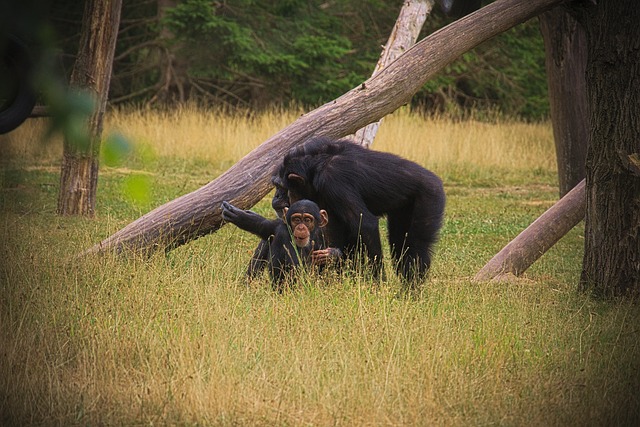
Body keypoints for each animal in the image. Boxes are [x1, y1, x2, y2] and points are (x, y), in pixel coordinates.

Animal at [276, 137, 444, 284]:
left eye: (281, 187)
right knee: (399, 243)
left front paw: (378, 282)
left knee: (417, 245)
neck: (315, 168)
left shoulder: (333, 180)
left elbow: (365, 225)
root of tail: (436, 179)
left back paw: (411, 289)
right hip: (403, 209)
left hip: (430, 197)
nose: (277, 196)